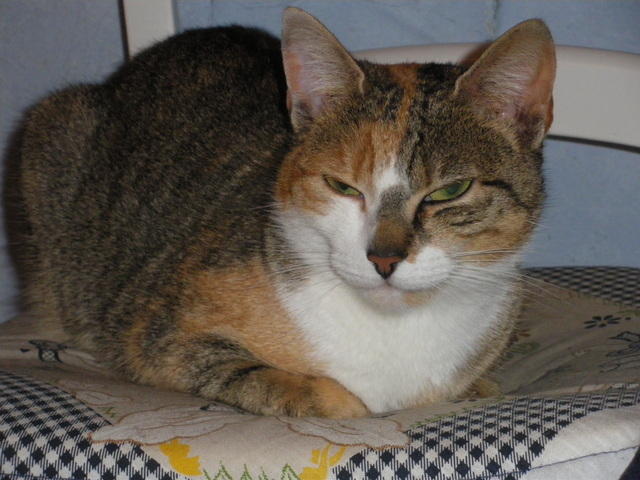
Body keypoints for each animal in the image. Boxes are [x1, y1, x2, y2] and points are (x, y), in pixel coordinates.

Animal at [17, 8, 555, 418]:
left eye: (450, 190)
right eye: (342, 186)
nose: (383, 258)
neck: (393, 328)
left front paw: (475, 388)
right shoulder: (157, 332)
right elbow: (262, 377)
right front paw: (332, 398)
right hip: (51, 128)